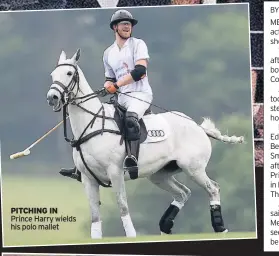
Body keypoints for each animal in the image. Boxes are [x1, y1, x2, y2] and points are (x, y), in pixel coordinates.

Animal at [46, 49, 245, 239]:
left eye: (69, 73)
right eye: (53, 74)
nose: (52, 97)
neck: (92, 125)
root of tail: (198, 126)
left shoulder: (115, 172)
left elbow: (122, 205)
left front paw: (132, 236)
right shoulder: (88, 179)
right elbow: (95, 214)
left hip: (193, 168)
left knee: (213, 188)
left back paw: (220, 228)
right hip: (159, 174)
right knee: (183, 192)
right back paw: (165, 227)